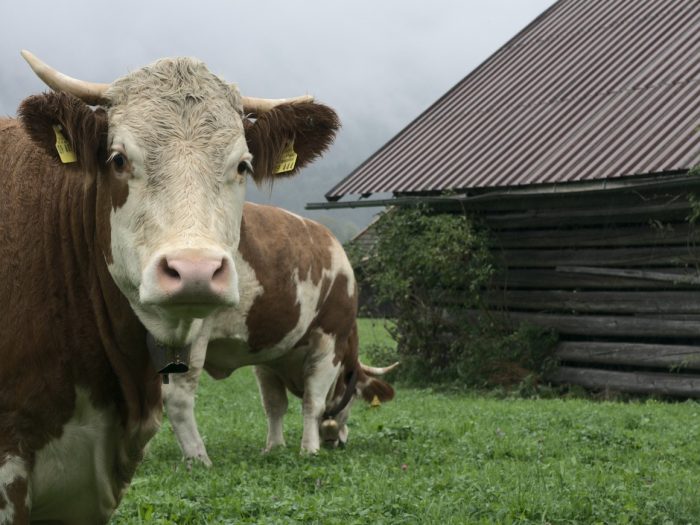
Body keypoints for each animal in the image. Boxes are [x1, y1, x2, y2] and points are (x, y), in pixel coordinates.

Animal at [161, 207, 396, 464]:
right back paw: (198, 458)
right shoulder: (329, 342)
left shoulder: (268, 357)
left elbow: (274, 404)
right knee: (178, 398)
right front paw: (310, 449)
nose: (340, 440)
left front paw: (274, 446)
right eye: (353, 396)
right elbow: (313, 402)